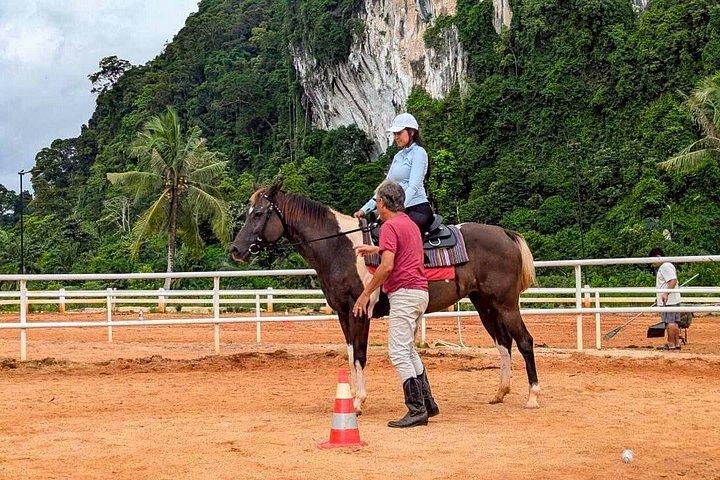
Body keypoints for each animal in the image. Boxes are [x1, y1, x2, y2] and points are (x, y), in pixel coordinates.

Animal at [230, 183, 540, 412]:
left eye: (259, 213)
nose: (235, 249)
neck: (341, 248)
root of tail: (506, 234)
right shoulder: (342, 313)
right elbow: (351, 353)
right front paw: (351, 397)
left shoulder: (360, 311)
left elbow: (361, 354)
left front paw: (358, 402)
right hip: (484, 305)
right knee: (503, 343)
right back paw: (499, 393)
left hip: (506, 304)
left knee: (524, 341)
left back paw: (533, 396)